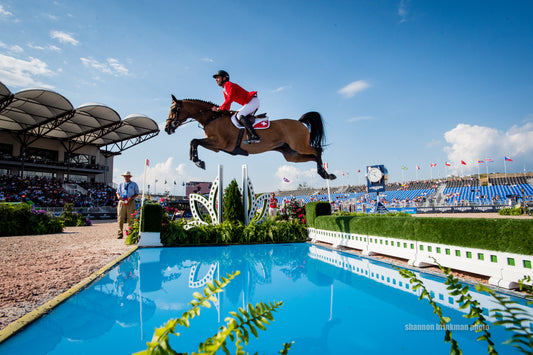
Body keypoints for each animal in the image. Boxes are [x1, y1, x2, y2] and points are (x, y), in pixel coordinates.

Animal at [164, 95, 334, 181]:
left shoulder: (220, 143)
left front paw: (197, 161)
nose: (167, 128)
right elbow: (194, 142)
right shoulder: (216, 147)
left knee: (317, 150)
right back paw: (323, 173)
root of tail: (299, 122)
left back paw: (325, 173)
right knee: (313, 157)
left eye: (174, 109)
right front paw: (197, 160)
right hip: (291, 155)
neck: (212, 117)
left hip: (299, 145)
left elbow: (194, 141)